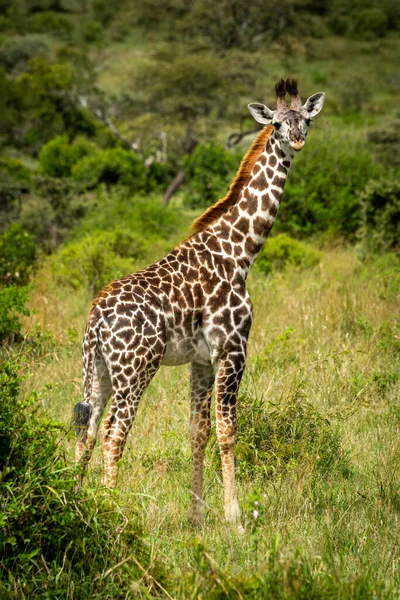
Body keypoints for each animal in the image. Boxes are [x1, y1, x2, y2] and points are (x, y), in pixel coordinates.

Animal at [72, 78, 324, 524]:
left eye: (305, 119)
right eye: (277, 123)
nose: (296, 140)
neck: (240, 251)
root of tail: (96, 320)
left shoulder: (202, 359)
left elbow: (197, 432)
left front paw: (197, 516)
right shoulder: (233, 348)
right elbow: (227, 430)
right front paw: (235, 517)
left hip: (97, 369)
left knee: (86, 429)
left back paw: (75, 504)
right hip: (136, 369)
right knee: (114, 432)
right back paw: (112, 512)